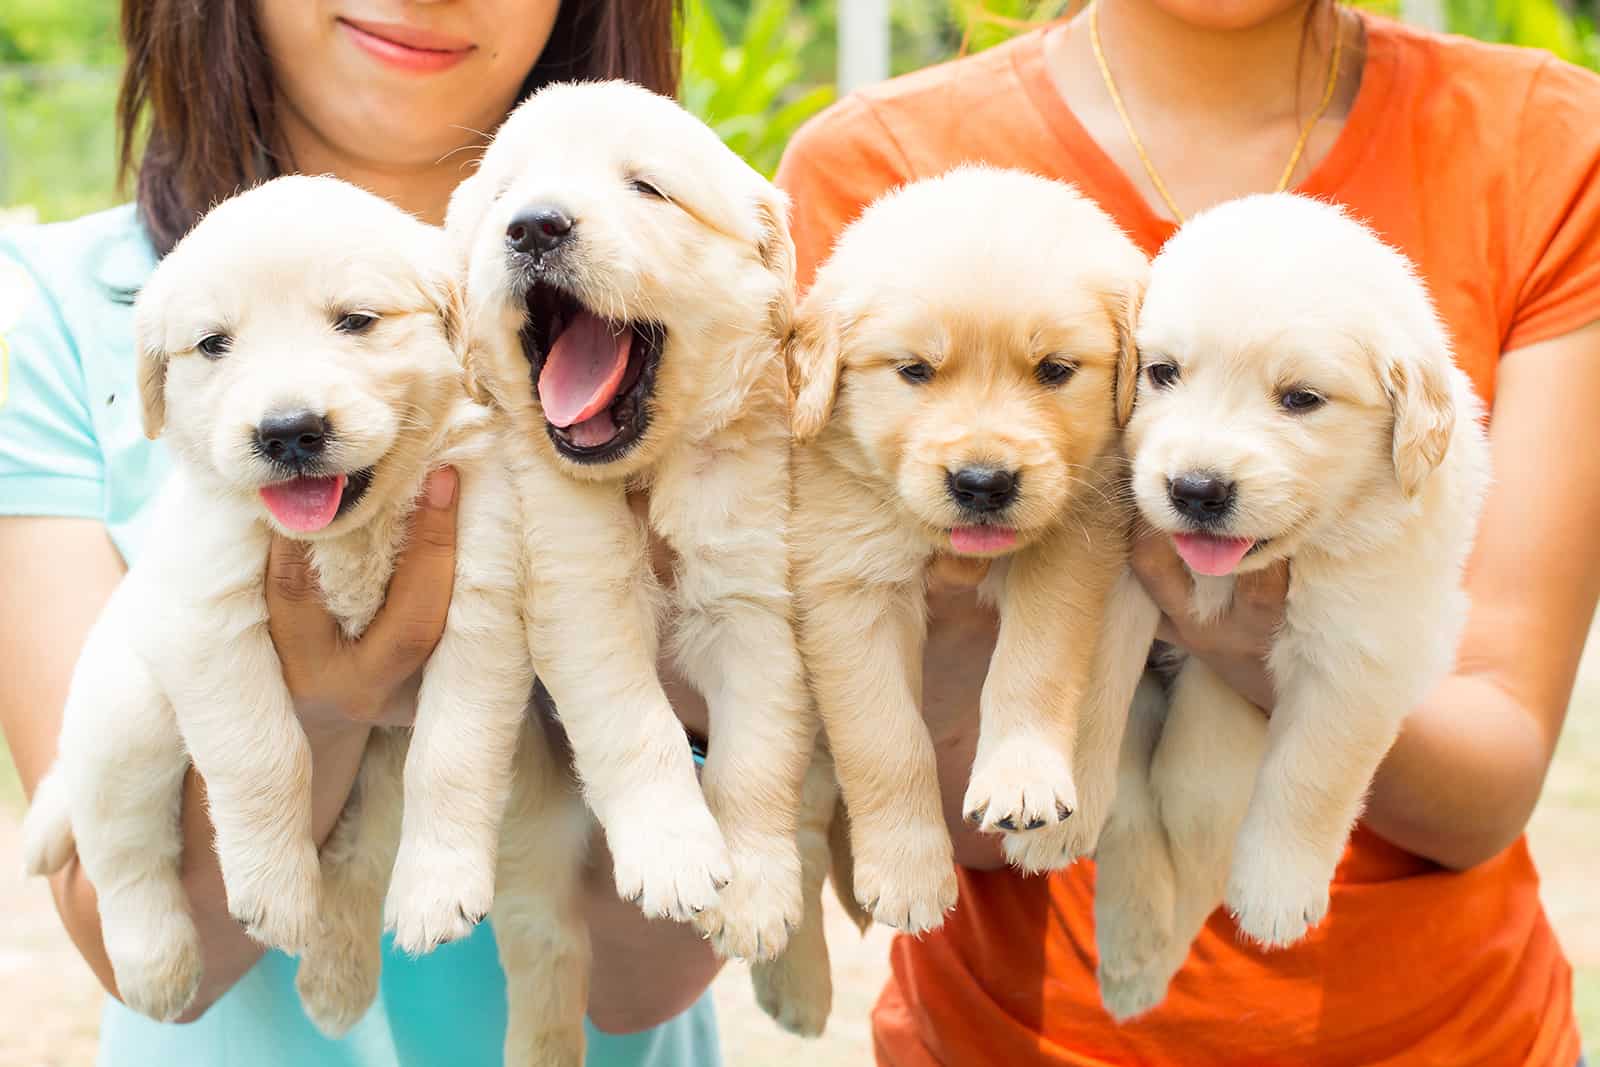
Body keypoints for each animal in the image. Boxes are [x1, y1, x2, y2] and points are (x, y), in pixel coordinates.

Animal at [444, 79, 812, 1023]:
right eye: (503, 196)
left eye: (646, 188)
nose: (533, 226)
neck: (647, 473)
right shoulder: (579, 595)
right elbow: (636, 725)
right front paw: (675, 855)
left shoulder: (753, 601)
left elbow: (759, 759)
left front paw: (755, 893)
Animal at [784, 160, 1152, 953]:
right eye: (915, 370)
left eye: (1055, 369)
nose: (983, 483)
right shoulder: (845, 585)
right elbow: (885, 738)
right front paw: (908, 872)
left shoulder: (1068, 545)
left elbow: (1034, 666)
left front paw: (1021, 779)